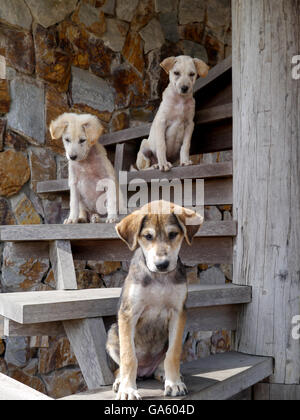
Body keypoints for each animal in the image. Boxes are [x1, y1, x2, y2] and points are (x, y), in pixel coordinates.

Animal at [106, 200, 204, 400]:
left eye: (173, 234)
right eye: (147, 236)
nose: (162, 265)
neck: (160, 278)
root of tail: (145, 371)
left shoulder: (178, 312)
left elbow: (172, 354)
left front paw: (174, 383)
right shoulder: (128, 313)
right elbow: (129, 357)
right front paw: (128, 390)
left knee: (163, 359)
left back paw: (163, 373)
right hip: (112, 332)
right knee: (120, 368)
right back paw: (121, 381)